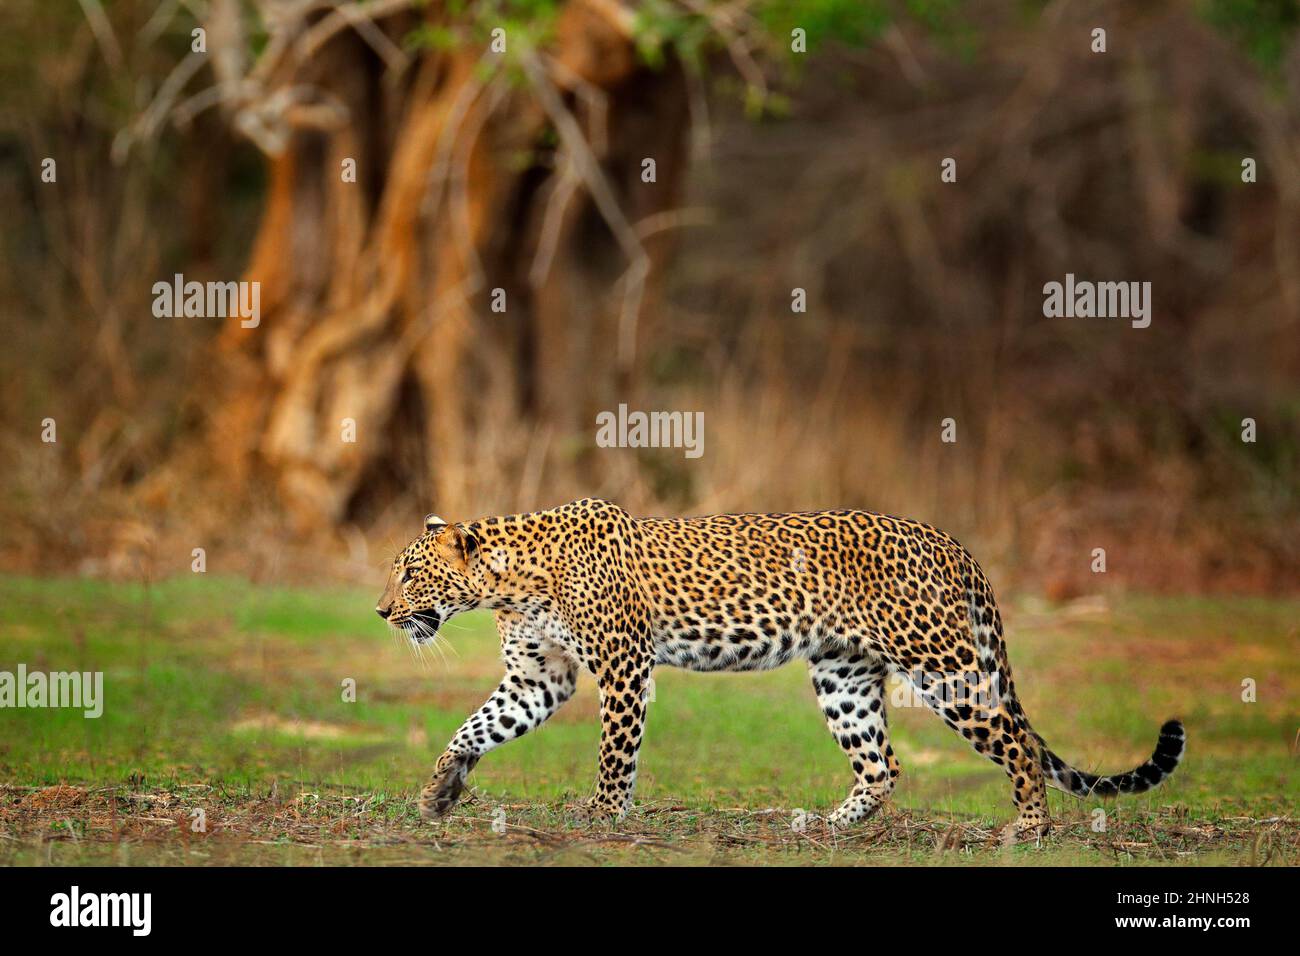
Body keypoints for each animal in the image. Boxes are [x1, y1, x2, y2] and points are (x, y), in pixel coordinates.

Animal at [375, 497, 1185, 842]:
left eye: (410, 574)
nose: (382, 612)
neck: (510, 581)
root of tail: (951, 541)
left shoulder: (624, 667)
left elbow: (615, 754)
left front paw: (604, 815)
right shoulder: (540, 677)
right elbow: (476, 727)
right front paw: (439, 792)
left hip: (944, 665)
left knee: (1016, 743)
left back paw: (1029, 827)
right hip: (844, 675)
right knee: (883, 763)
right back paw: (826, 825)